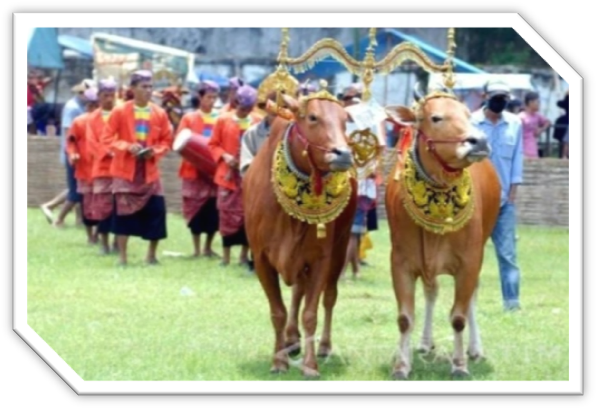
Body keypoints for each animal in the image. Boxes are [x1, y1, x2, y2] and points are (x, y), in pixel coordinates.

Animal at [241, 91, 354, 378]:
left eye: (345, 120)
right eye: (312, 117)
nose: (344, 154)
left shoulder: (320, 259)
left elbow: (311, 313)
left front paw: (310, 365)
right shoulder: (261, 260)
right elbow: (278, 312)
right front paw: (278, 360)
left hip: (340, 248)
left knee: (328, 297)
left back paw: (323, 347)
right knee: (296, 295)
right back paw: (291, 341)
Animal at [384, 86, 500, 380]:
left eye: (467, 115)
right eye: (436, 118)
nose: (479, 142)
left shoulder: (470, 262)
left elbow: (458, 317)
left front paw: (459, 365)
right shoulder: (401, 262)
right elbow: (405, 318)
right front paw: (401, 366)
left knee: (471, 299)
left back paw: (475, 349)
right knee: (431, 291)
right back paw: (425, 343)